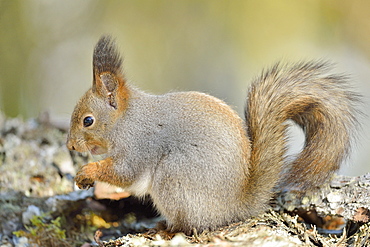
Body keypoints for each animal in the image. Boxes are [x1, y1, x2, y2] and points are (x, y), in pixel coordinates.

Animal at [67, 34, 362, 233]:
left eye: (88, 121)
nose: (70, 146)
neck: (126, 120)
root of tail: (235, 207)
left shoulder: (140, 144)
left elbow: (124, 173)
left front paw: (87, 172)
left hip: (174, 176)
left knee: (192, 224)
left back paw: (168, 228)